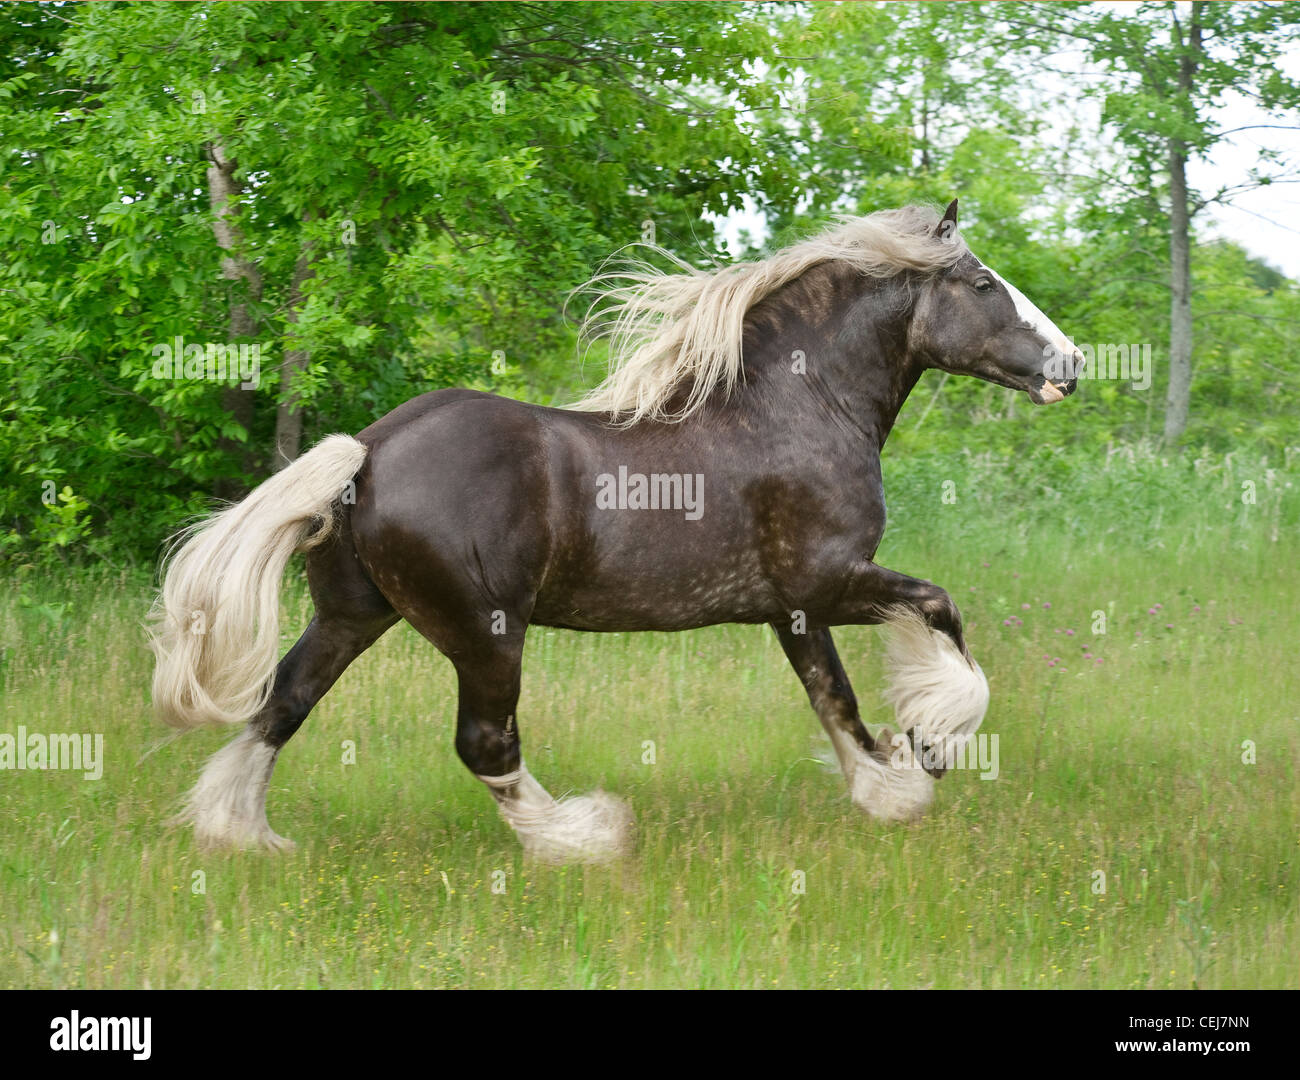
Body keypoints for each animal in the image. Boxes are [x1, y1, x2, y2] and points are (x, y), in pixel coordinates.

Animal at [149, 200, 1086, 862]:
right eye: (982, 285)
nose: (1072, 364)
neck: (798, 407)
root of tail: (366, 452)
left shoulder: (793, 606)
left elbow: (836, 699)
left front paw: (889, 790)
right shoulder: (832, 578)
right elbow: (940, 611)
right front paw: (930, 743)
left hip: (351, 615)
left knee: (282, 703)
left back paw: (242, 836)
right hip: (486, 633)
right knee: (485, 743)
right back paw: (585, 837)